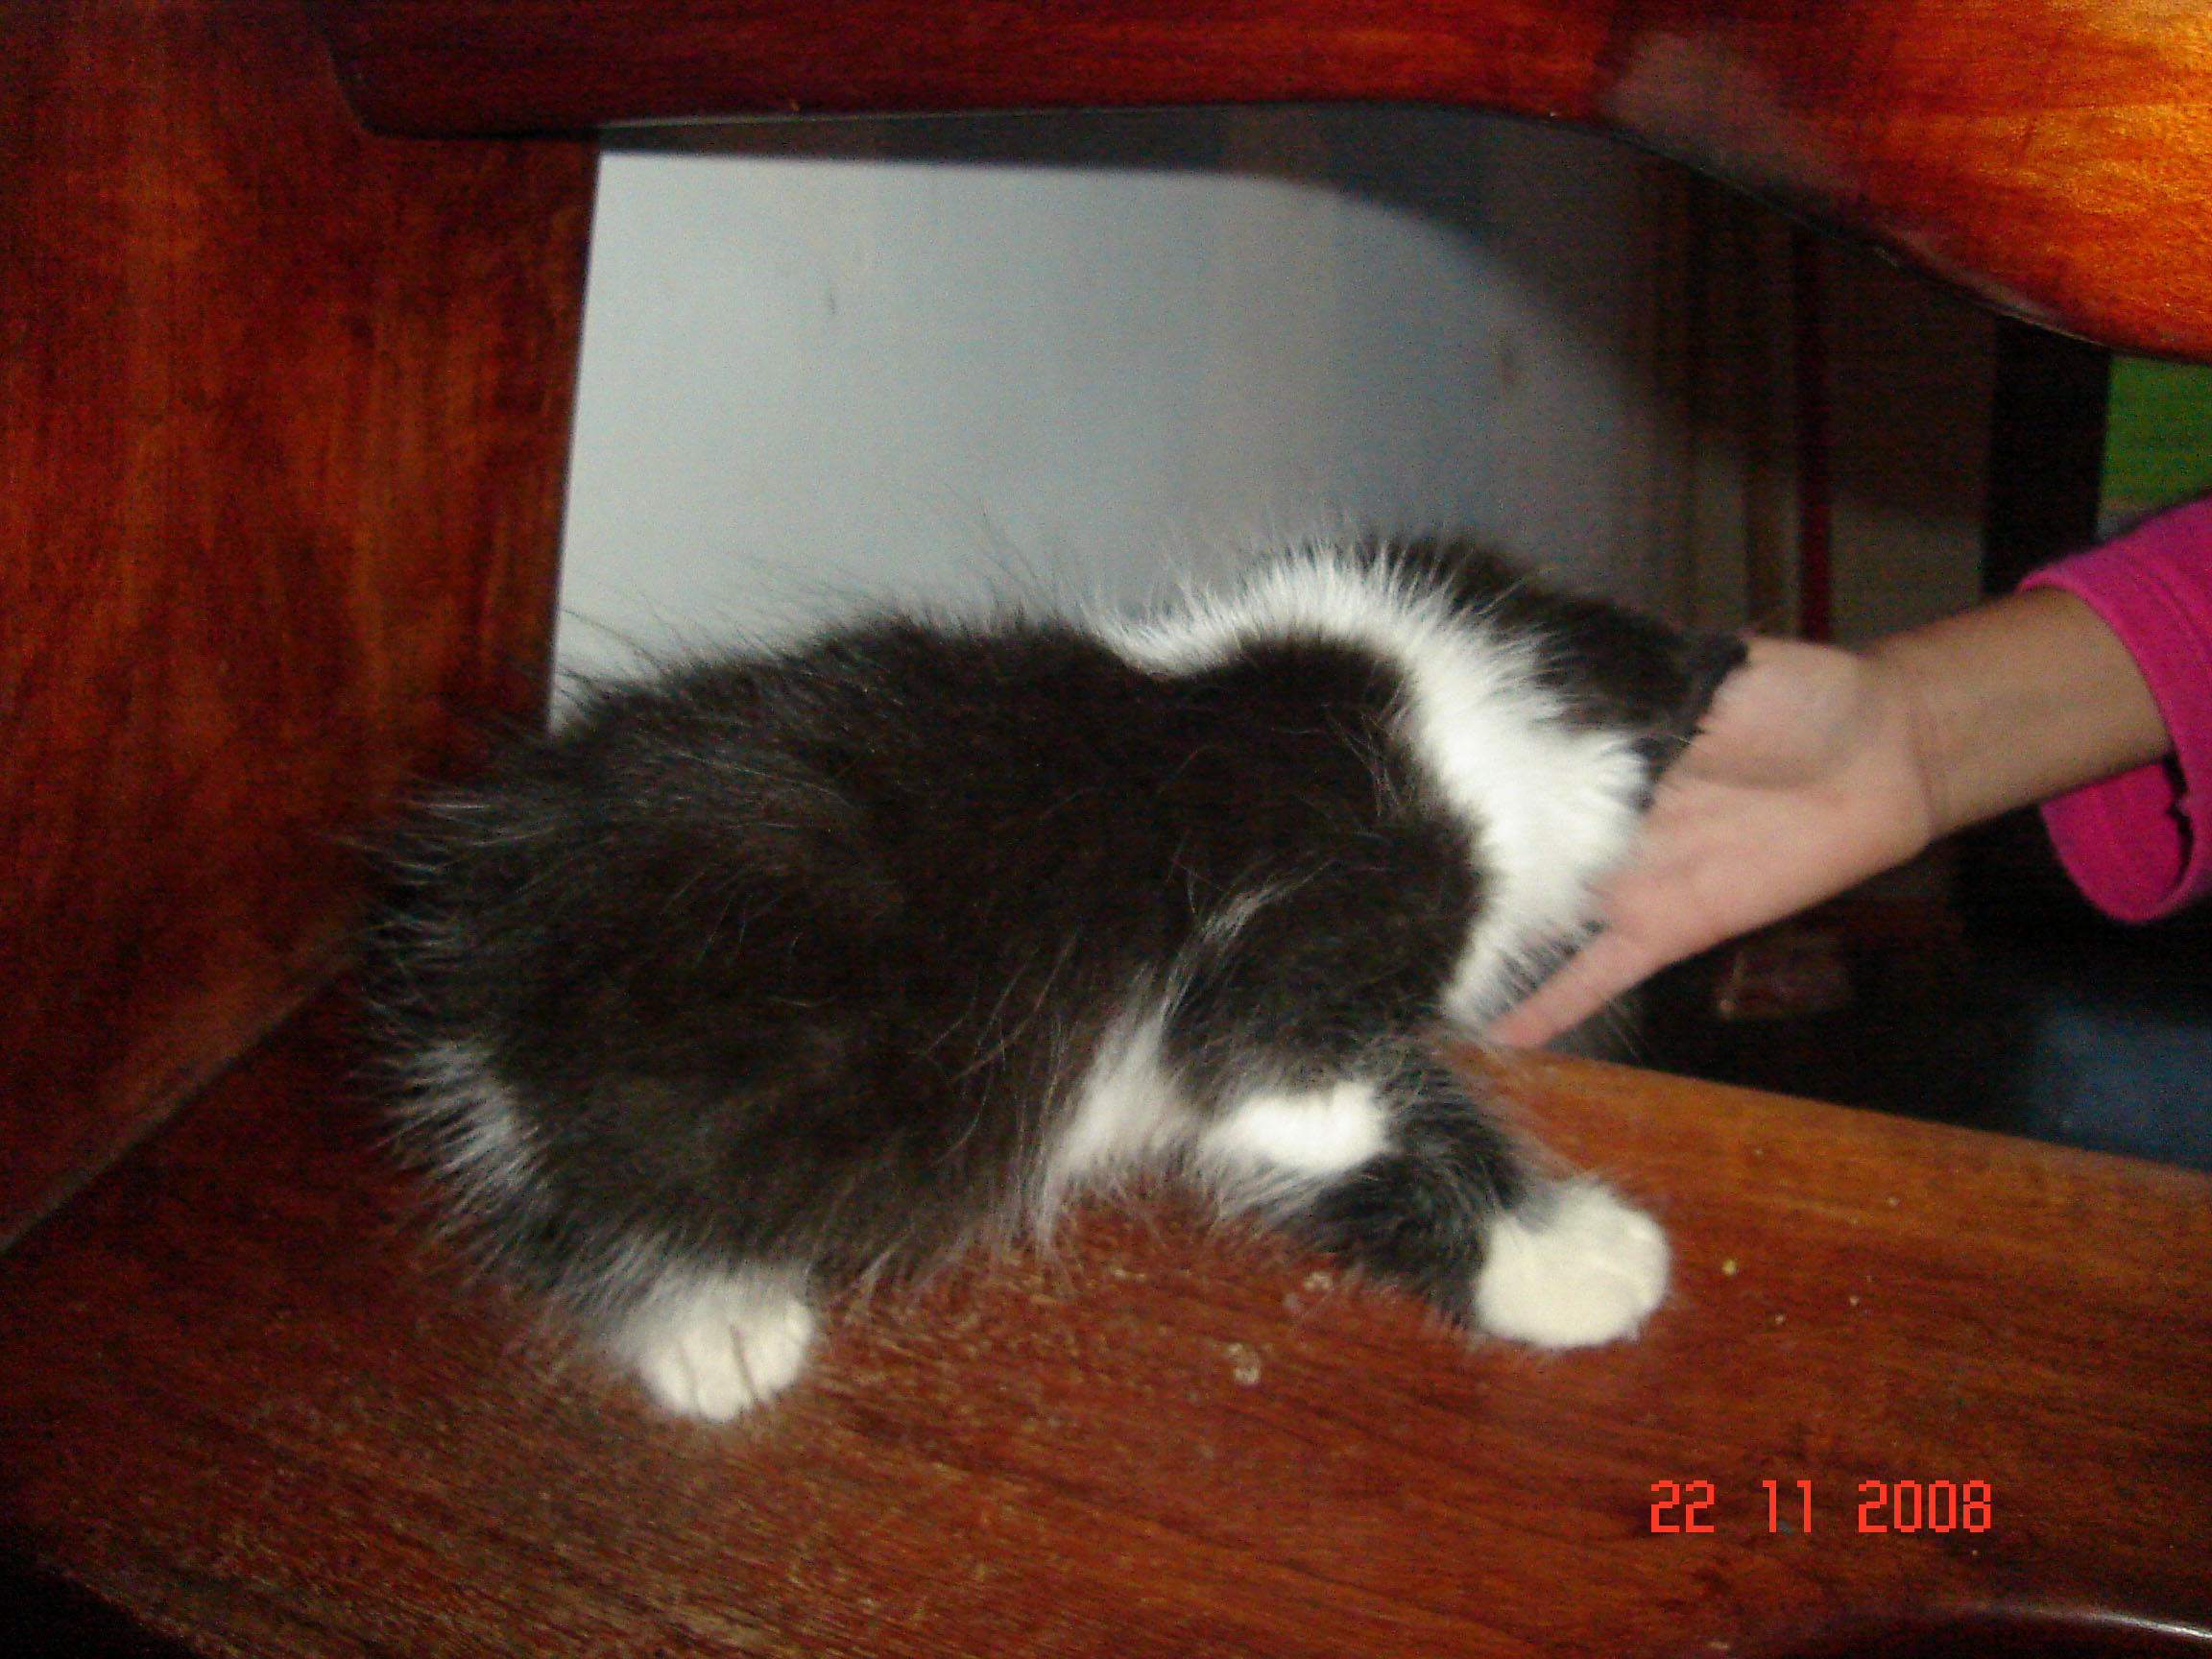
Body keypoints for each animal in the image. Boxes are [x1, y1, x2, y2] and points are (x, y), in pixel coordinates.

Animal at [361, 537, 1743, 1421]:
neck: (1423, 703)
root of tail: (480, 899)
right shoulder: (1277, 976)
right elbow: (1365, 1115)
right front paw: (1564, 1258)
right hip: (707, 1083)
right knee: (580, 1197)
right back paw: (706, 1321)